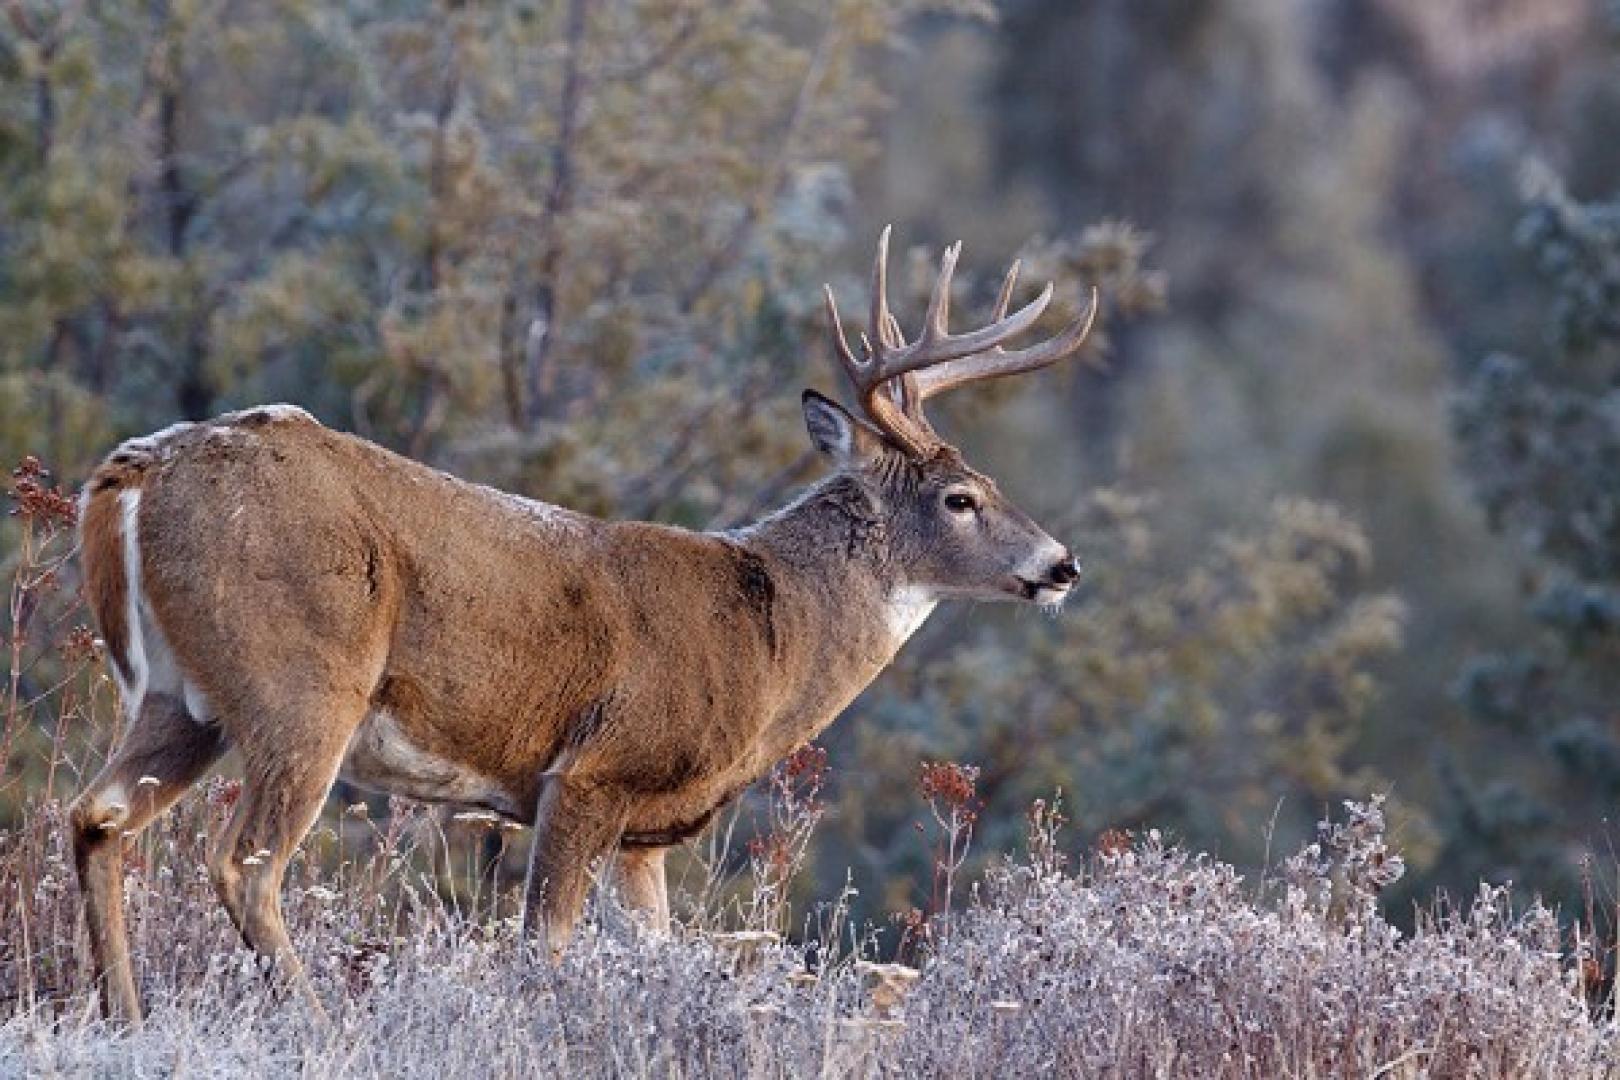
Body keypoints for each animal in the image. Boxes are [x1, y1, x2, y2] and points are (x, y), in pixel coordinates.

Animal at [69, 229, 1095, 1023]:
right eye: (961, 498)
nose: (1062, 565)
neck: (772, 639)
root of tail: (135, 471)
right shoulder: (593, 771)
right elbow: (544, 948)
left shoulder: (645, 833)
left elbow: (649, 951)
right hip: (302, 681)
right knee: (243, 862)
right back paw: (322, 1031)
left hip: (181, 699)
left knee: (97, 816)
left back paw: (125, 1018)